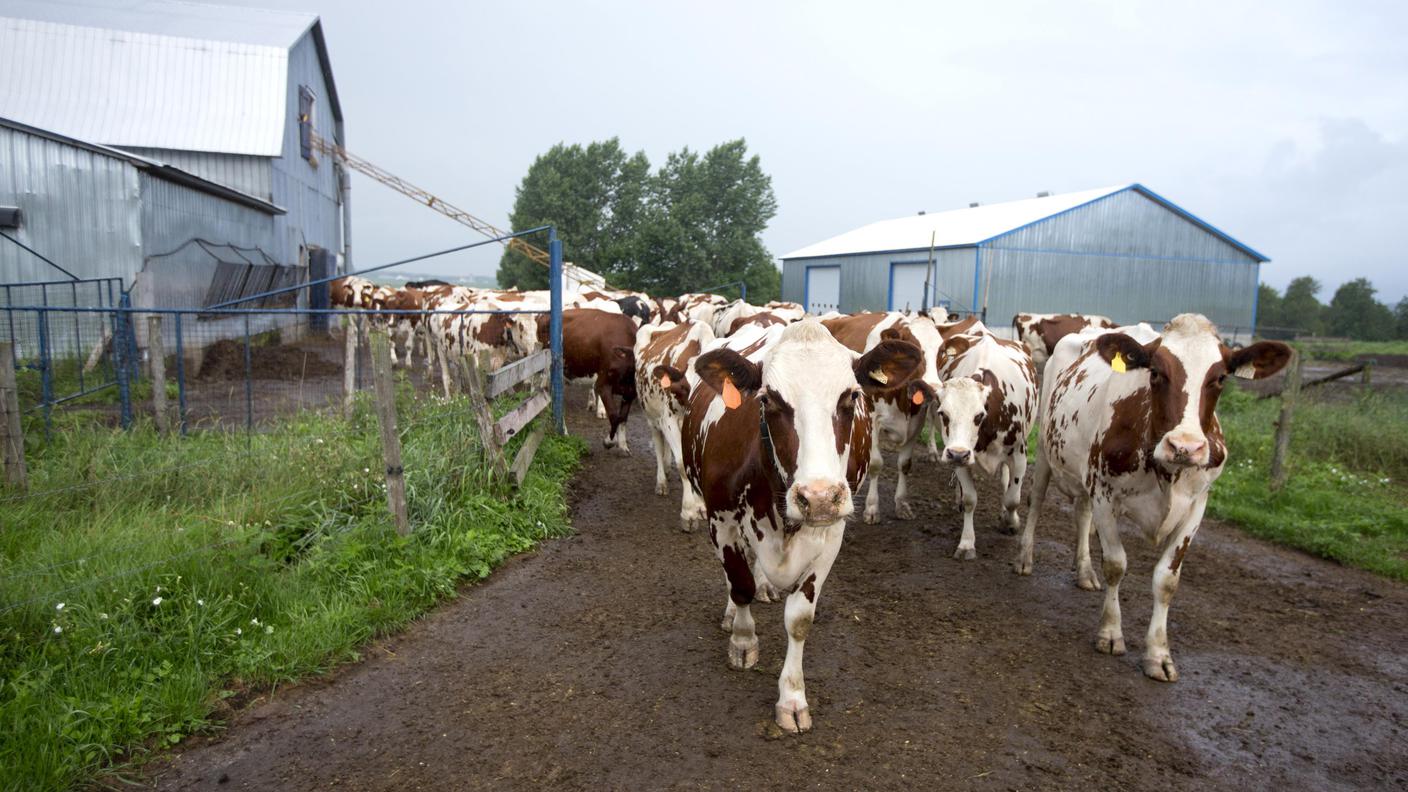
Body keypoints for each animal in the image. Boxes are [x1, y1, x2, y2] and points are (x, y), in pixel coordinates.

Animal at [535, 307, 636, 450]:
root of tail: (544, 315)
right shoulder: (603, 384)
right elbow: (614, 415)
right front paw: (609, 441)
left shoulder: (630, 393)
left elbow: (622, 417)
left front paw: (622, 445)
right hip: (550, 367)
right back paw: (564, 431)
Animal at [633, 315, 715, 529]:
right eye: (684, 387)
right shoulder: (668, 419)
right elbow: (682, 464)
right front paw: (689, 512)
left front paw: (701, 506)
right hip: (652, 416)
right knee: (658, 444)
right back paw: (661, 481)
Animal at [678, 317, 923, 732]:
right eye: (767, 400)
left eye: (851, 397)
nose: (820, 496)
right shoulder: (720, 518)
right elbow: (738, 583)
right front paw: (743, 640)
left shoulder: (831, 533)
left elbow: (799, 619)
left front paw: (792, 698)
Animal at [934, 325, 1036, 555]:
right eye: (943, 414)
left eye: (979, 415)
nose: (957, 454)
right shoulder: (961, 456)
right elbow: (970, 499)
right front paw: (966, 543)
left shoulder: (1020, 455)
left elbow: (1012, 499)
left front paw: (1010, 523)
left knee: (1006, 483)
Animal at [1013, 312, 1289, 679]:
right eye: (1156, 372)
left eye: (1219, 378)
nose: (1185, 446)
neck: (1165, 468)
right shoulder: (1105, 493)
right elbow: (1116, 564)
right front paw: (1110, 633)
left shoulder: (1197, 504)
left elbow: (1167, 580)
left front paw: (1158, 653)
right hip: (1046, 451)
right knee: (1037, 502)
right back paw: (1025, 558)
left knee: (1082, 513)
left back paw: (1085, 572)